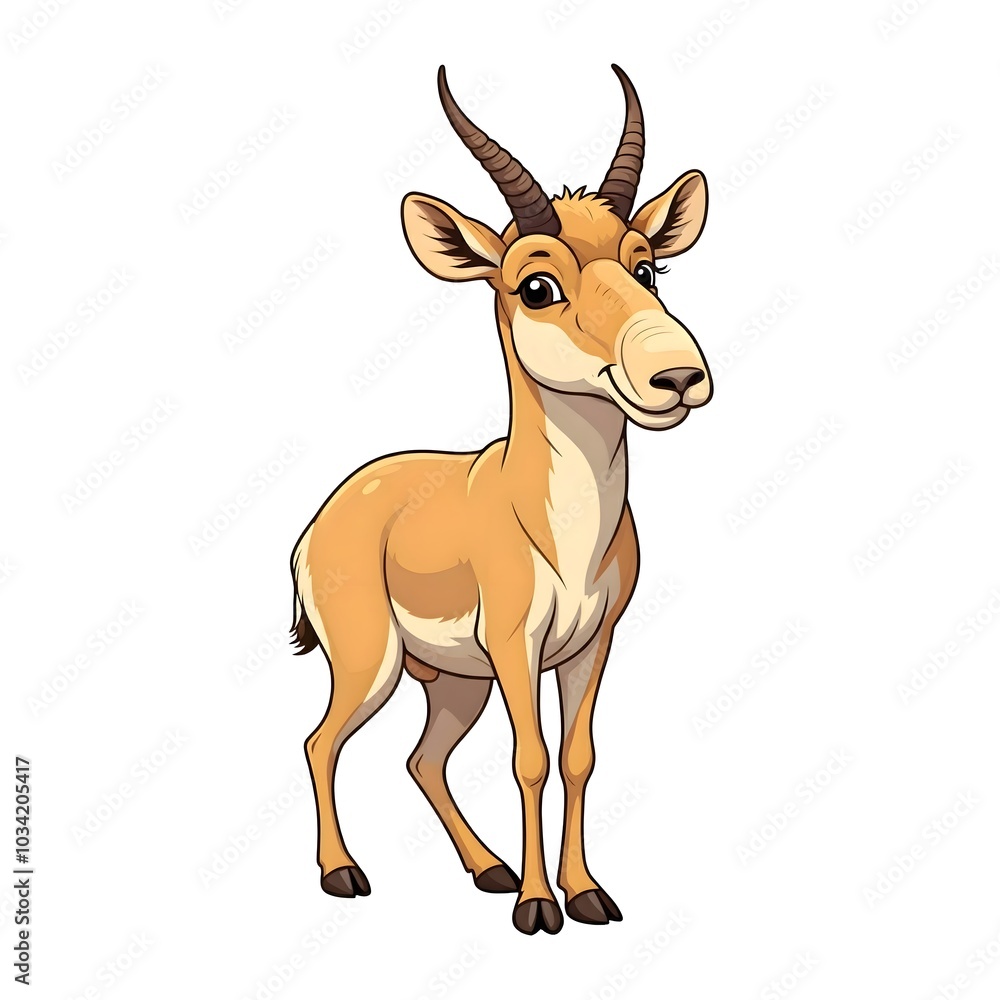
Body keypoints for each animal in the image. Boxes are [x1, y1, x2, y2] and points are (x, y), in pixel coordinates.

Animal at [290, 65, 712, 935]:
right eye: (537, 283)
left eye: (647, 267)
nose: (678, 375)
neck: (559, 529)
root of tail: (326, 514)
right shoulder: (517, 646)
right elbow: (532, 760)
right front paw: (538, 907)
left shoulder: (589, 645)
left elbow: (579, 757)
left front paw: (585, 894)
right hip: (373, 663)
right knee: (320, 742)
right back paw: (345, 874)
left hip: (455, 682)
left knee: (422, 758)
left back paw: (487, 869)